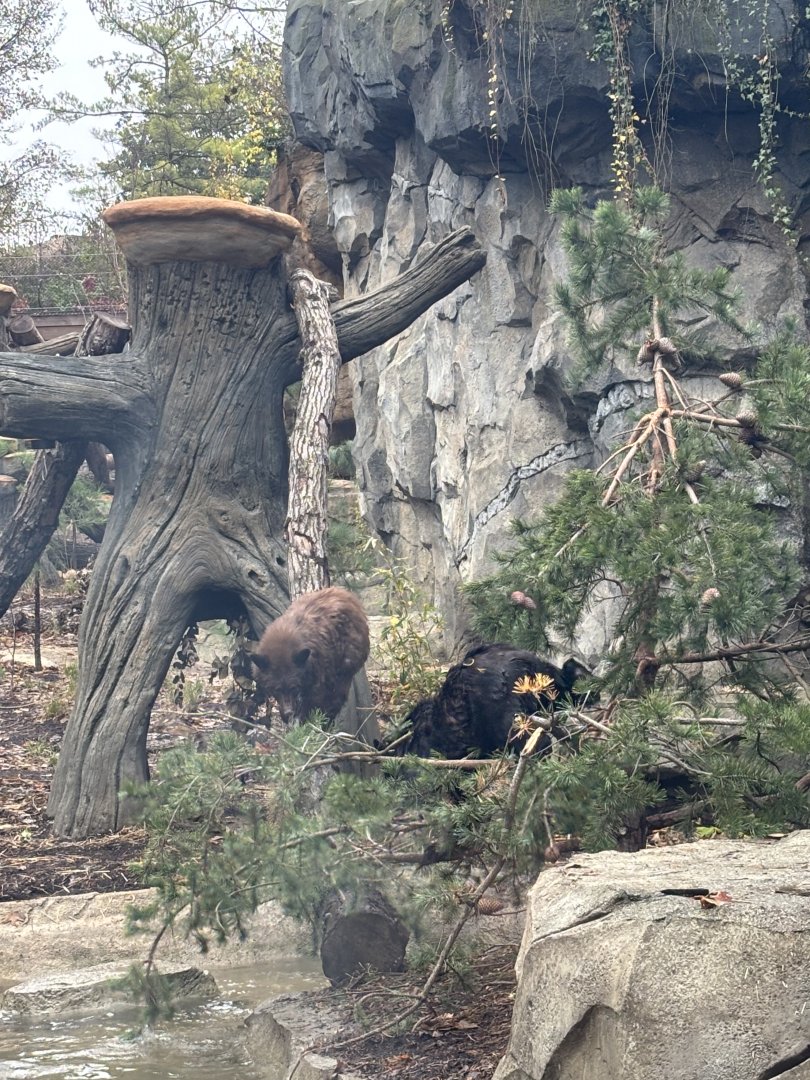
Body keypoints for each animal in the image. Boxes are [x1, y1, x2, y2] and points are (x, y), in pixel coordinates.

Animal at [251, 586, 370, 724]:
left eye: (293, 687)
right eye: (276, 689)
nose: (288, 713)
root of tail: (349, 597)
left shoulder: (317, 674)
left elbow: (313, 701)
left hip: (346, 665)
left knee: (336, 696)